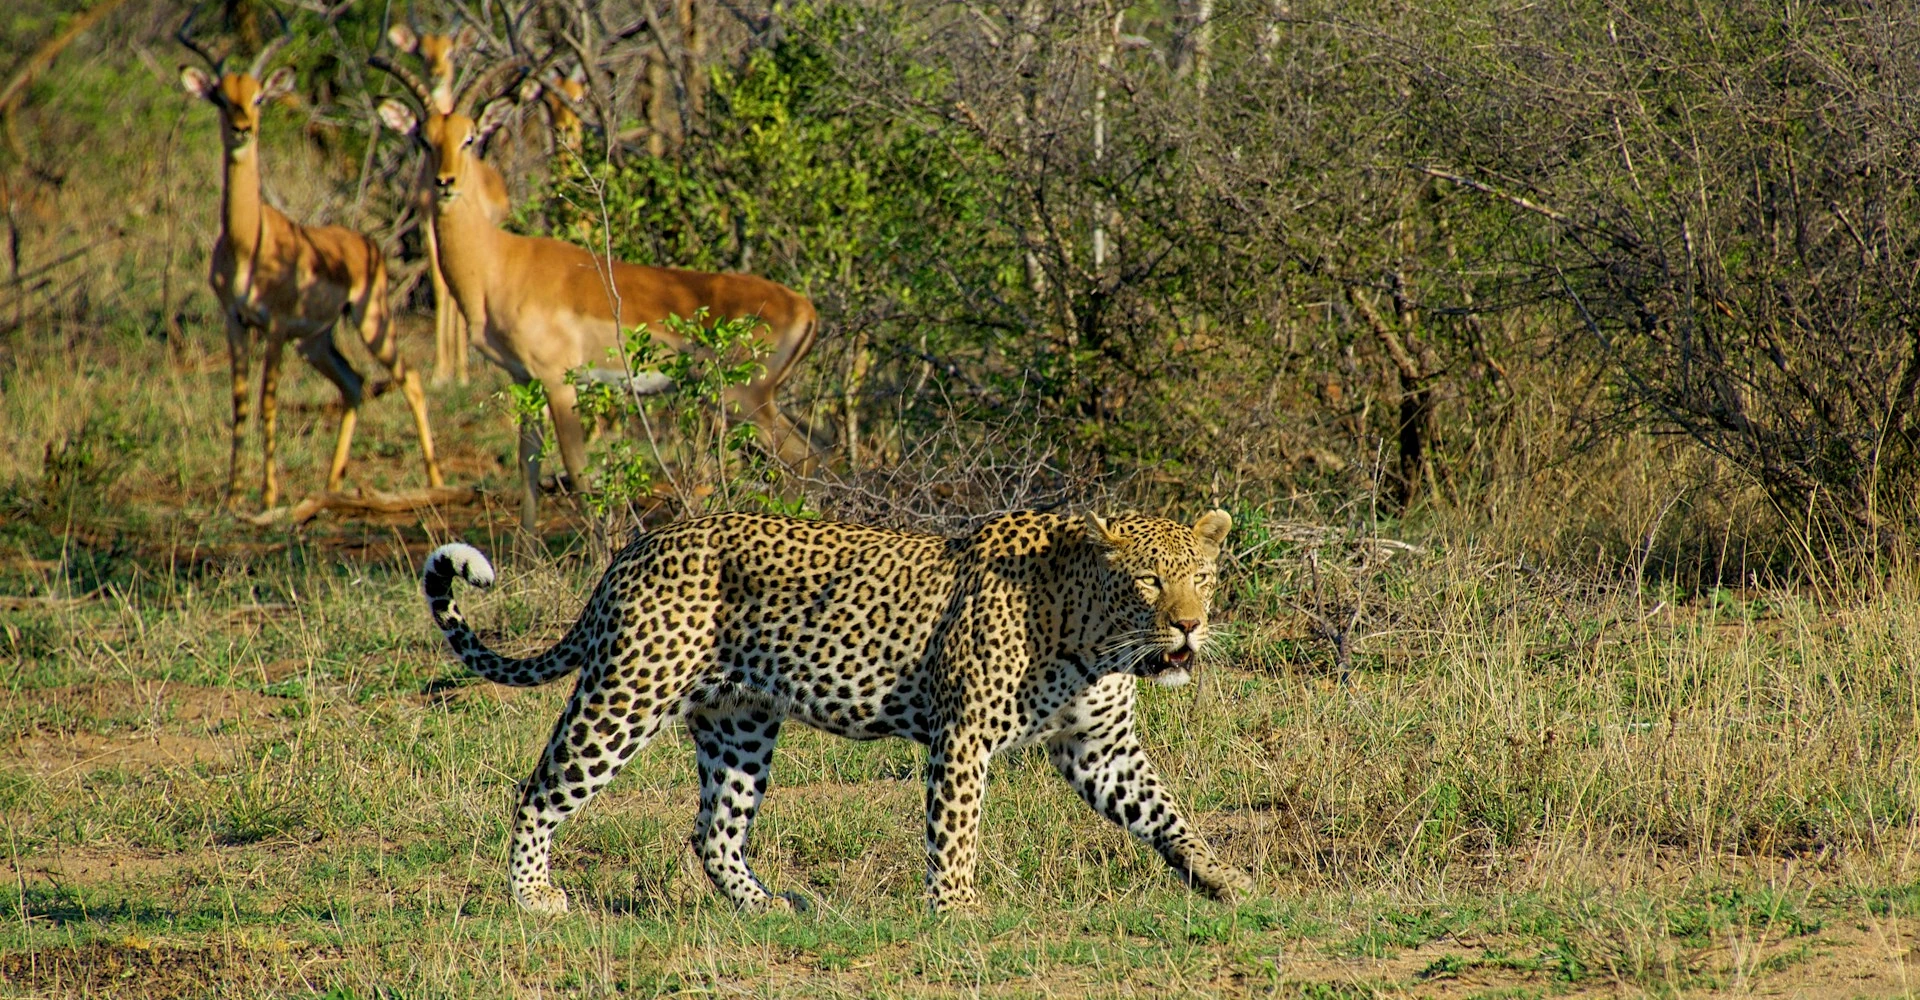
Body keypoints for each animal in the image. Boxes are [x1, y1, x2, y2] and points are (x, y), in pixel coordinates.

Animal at [419, 508, 1253, 915]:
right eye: (1149, 581)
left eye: (1203, 577)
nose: (1189, 625)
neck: (1097, 636)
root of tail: (636, 548)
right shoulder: (963, 737)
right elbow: (956, 832)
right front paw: (957, 910)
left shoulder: (1100, 746)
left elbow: (1165, 810)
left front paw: (1222, 878)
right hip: (628, 692)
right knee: (539, 792)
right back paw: (532, 898)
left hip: (739, 720)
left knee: (713, 829)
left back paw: (766, 907)